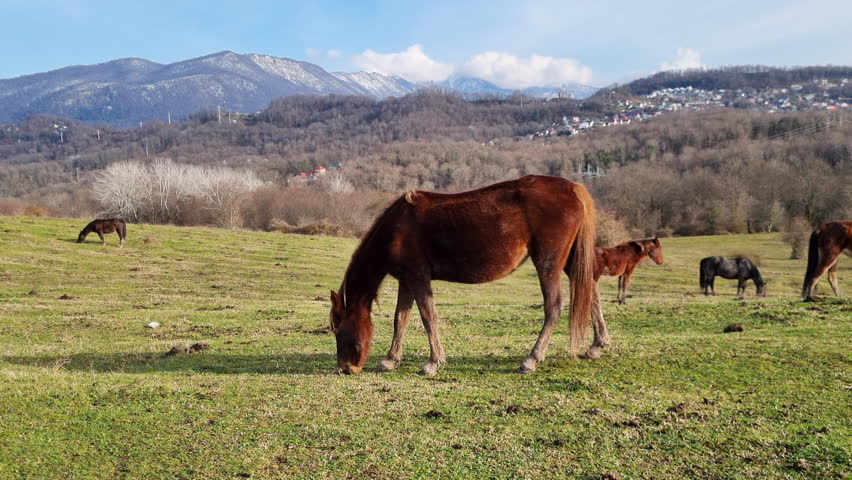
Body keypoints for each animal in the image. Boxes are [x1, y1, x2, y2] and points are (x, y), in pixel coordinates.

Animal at [329, 175, 599, 376]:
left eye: (338, 329)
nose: (346, 368)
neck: (397, 228)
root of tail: (574, 188)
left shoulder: (418, 278)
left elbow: (428, 318)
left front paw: (433, 362)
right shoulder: (406, 281)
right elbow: (400, 319)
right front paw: (390, 359)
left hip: (547, 263)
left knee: (553, 306)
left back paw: (532, 358)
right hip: (572, 260)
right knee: (591, 293)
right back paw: (597, 345)